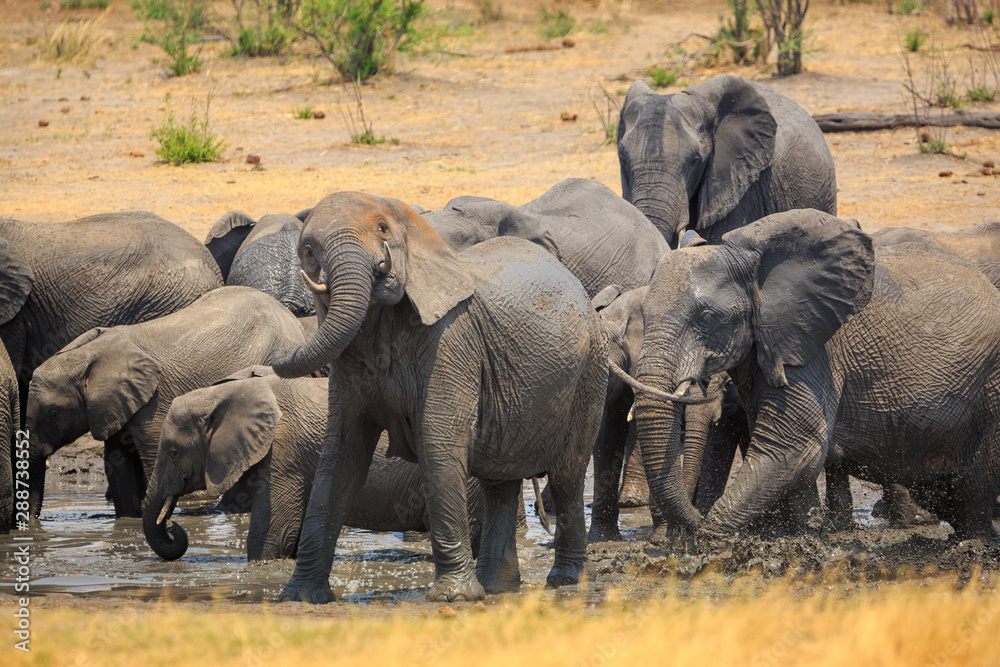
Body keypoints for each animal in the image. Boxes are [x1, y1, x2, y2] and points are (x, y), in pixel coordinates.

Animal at [25, 287, 307, 519]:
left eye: (53, 413)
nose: (33, 523)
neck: (90, 352)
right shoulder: (114, 403)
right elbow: (118, 462)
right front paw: (129, 523)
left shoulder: (154, 400)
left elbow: (149, 454)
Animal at [270, 191, 607, 603]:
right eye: (308, 250)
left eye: (383, 229)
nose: (276, 351)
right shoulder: (350, 358)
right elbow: (341, 457)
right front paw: (298, 596)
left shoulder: (451, 341)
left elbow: (438, 443)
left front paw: (453, 598)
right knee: (500, 484)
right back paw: (497, 588)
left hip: (590, 369)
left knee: (567, 476)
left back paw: (565, 582)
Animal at [621, 209, 1000, 542]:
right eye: (644, 314)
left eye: (706, 318)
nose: (688, 526)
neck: (756, 269)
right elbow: (788, 457)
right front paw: (799, 536)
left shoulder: (814, 351)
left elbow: (792, 449)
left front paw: (708, 544)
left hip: (991, 384)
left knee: (976, 485)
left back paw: (970, 544)